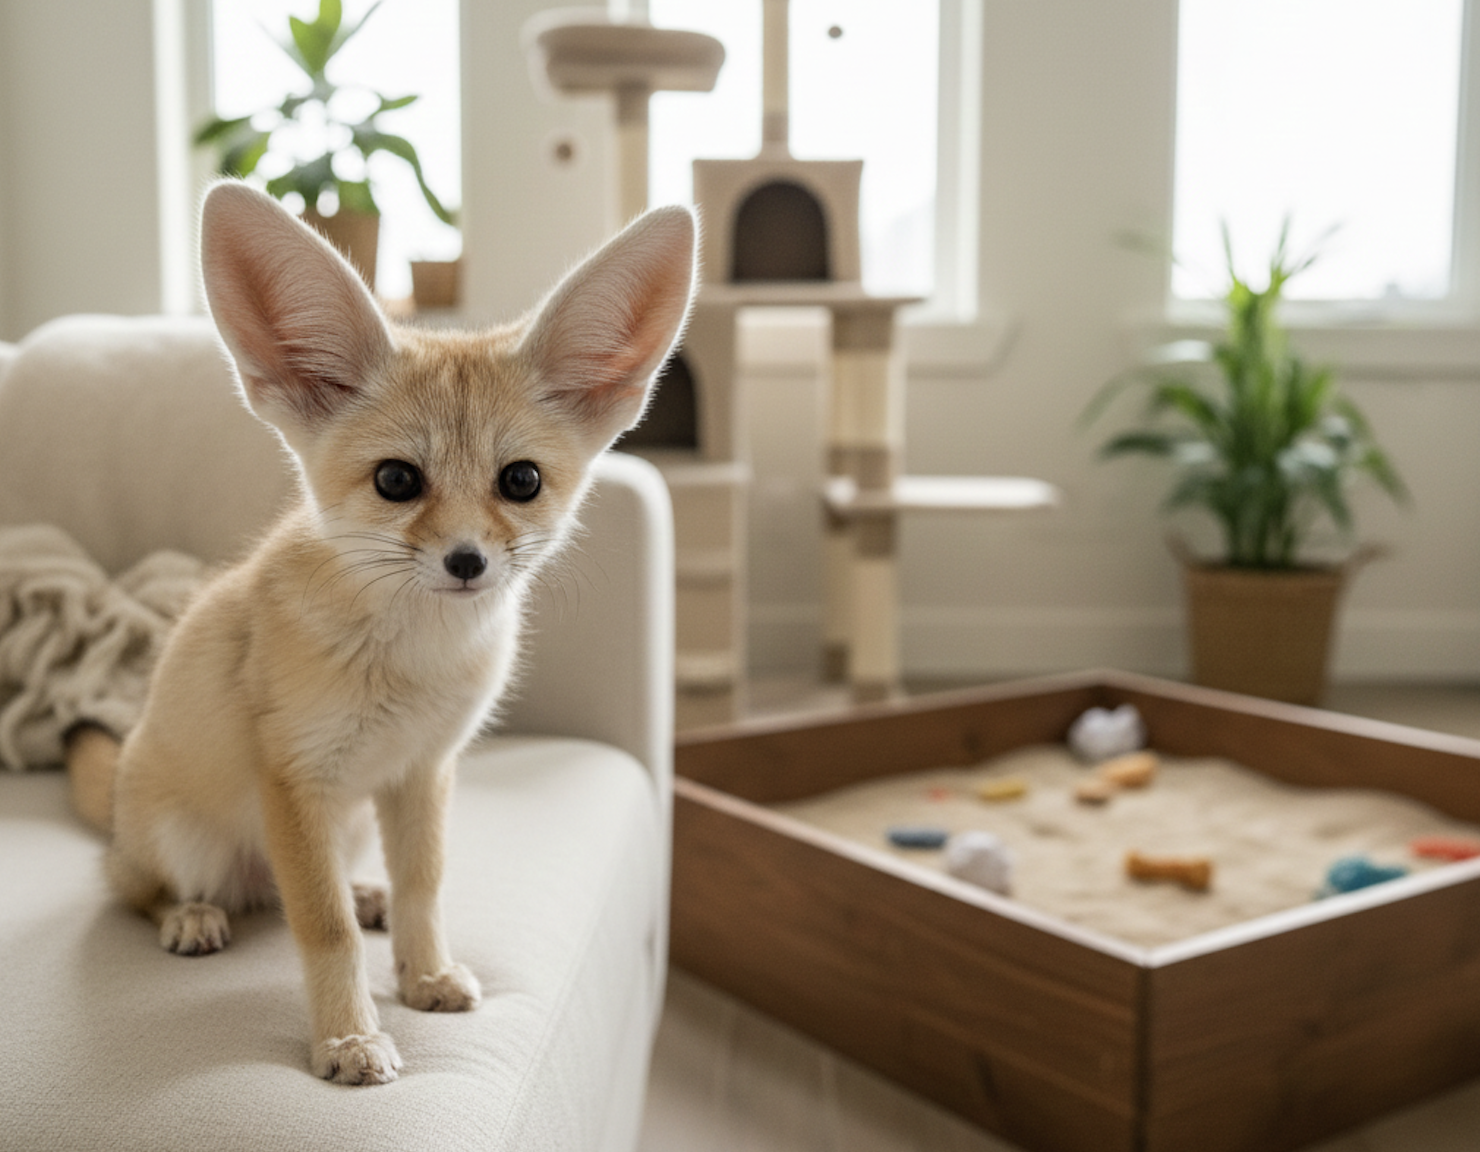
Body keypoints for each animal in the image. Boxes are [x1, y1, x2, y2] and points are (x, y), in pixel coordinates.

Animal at [76, 180, 696, 1085]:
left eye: (521, 481)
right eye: (397, 481)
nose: (468, 562)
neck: (413, 666)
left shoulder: (421, 773)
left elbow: (422, 888)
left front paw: (424, 972)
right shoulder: (294, 780)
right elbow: (323, 928)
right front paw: (346, 1039)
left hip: (354, 821)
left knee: (286, 891)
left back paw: (359, 894)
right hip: (186, 840)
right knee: (139, 888)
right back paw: (188, 914)